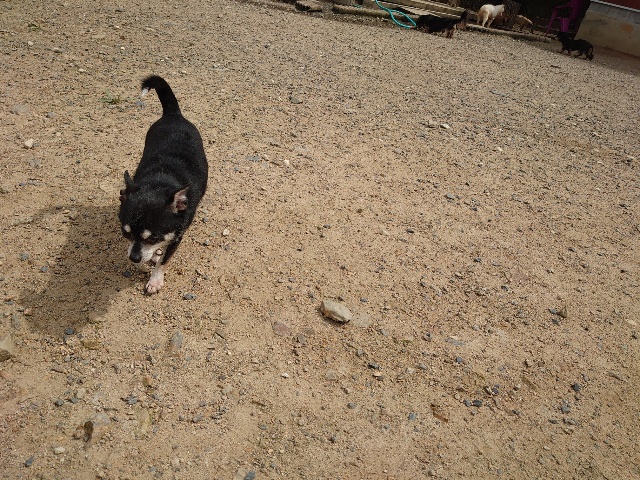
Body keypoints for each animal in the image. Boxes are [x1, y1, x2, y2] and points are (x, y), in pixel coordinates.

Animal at [119, 75, 208, 294]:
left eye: (152, 238)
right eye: (125, 234)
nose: (134, 258)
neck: (159, 181)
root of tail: (173, 114)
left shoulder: (177, 237)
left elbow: (164, 261)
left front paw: (155, 279)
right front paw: (147, 260)